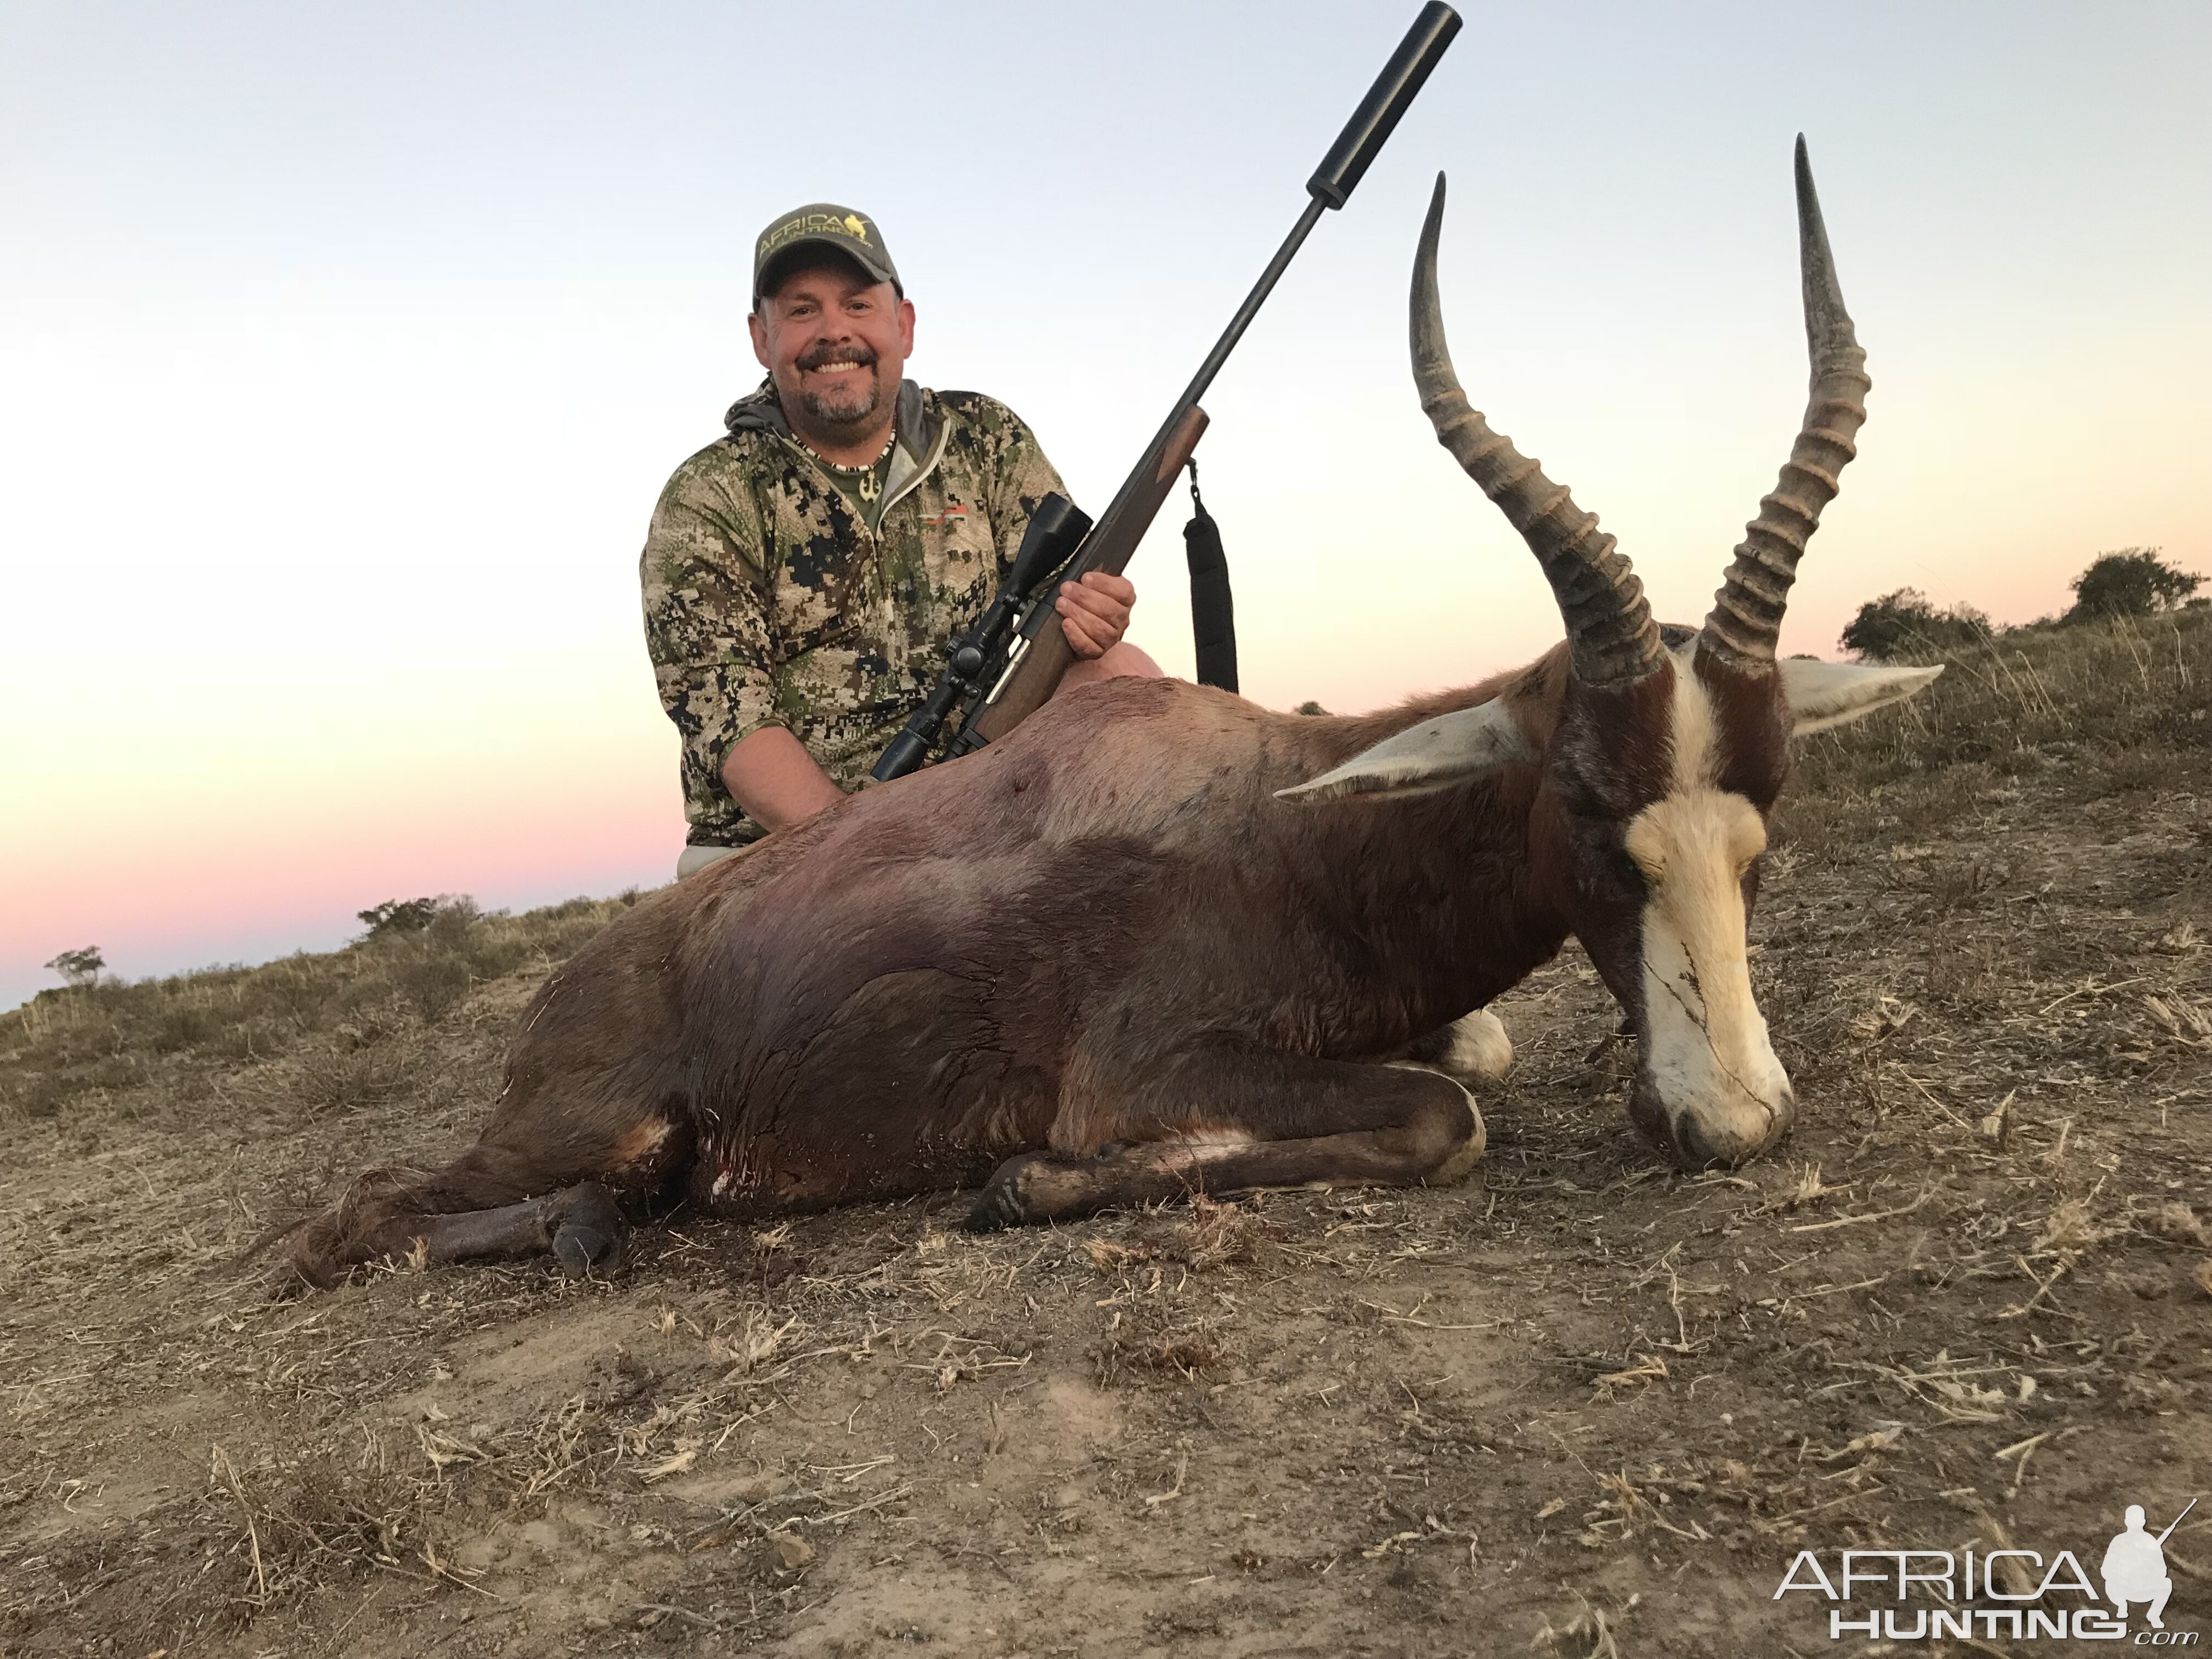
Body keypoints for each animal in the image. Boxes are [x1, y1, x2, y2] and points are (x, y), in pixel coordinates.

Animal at [290, 140, 1938, 1283]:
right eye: (1592, 817)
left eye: (1762, 824)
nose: (1733, 1122)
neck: (1286, 823)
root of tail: (565, 995)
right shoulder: (1141, 1069)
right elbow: (1438, 1117)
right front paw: (1022, 1183)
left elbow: (1474, 1064)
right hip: (607, 1130)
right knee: (349, 1218)